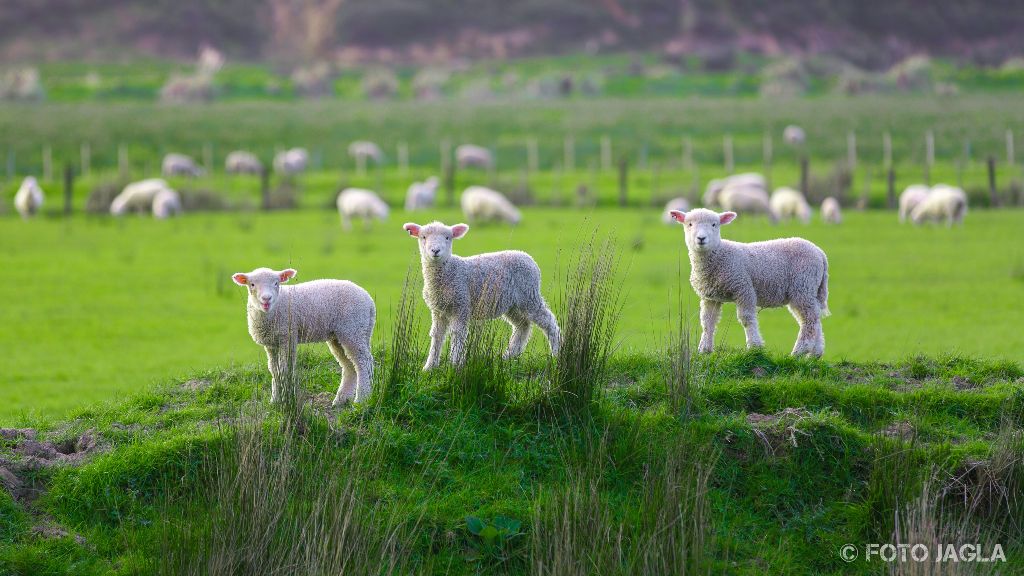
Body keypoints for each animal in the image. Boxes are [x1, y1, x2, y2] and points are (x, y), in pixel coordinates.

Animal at [232, 266, 376, 403]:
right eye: (252, 284)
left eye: (276, 283)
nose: (266, 299)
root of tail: (369, 301)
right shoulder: (272, 344)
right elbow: (274, 370)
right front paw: (275, 400)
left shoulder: (288, 337)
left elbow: (284, 369)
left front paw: (286, 399)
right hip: (346, 334)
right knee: (349, 366)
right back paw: (341, 399)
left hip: (353, 329)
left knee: (363, 362)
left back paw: (361, 398)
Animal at [401, 219, 561, 366]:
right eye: (423, 237)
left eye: (447, 237)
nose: (435, 251)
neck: (449, 272)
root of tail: (527, 257)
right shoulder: (438, 310)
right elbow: (437, 335)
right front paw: (429, 366)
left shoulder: (461, 305)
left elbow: (457, 334)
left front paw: (455, 364)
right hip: (512, 304)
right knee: (523, 326)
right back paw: (508, 356)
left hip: (529, 295)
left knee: (548, 321)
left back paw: (557, 352)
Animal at [667, 206, 827, 356]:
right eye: (689, 224)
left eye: (714, 224)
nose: (701, 238)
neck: (719, 255)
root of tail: (819, 252)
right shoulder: (710, 297)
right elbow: (707, 322)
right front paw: (704, 349)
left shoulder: (743, 288)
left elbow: (746, 318)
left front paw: (754, 347)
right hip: (808, 290)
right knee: (816, 318)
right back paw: (814, 354)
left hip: (803, 286)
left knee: (809, 319)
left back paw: (799, 351)